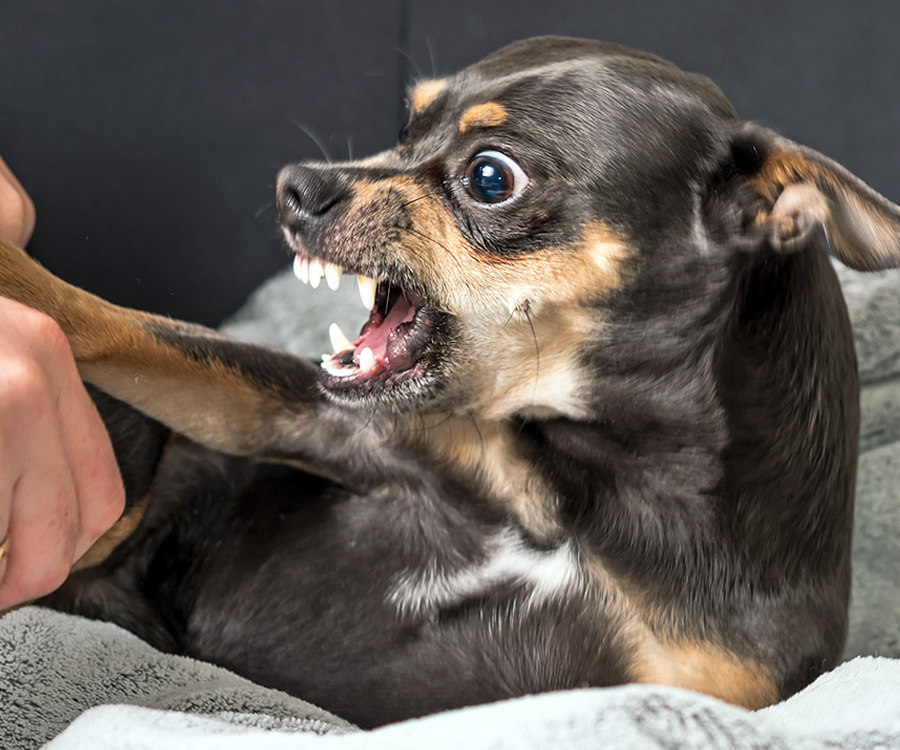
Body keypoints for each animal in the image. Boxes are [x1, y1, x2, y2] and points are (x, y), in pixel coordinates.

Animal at [1, 35, 900, 728]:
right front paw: (16, 269)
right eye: (405, 129)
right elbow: (120, 325)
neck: (598, 487)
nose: (296, 185)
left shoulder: (690, 689)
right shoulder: (314, 422)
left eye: (491, 177)